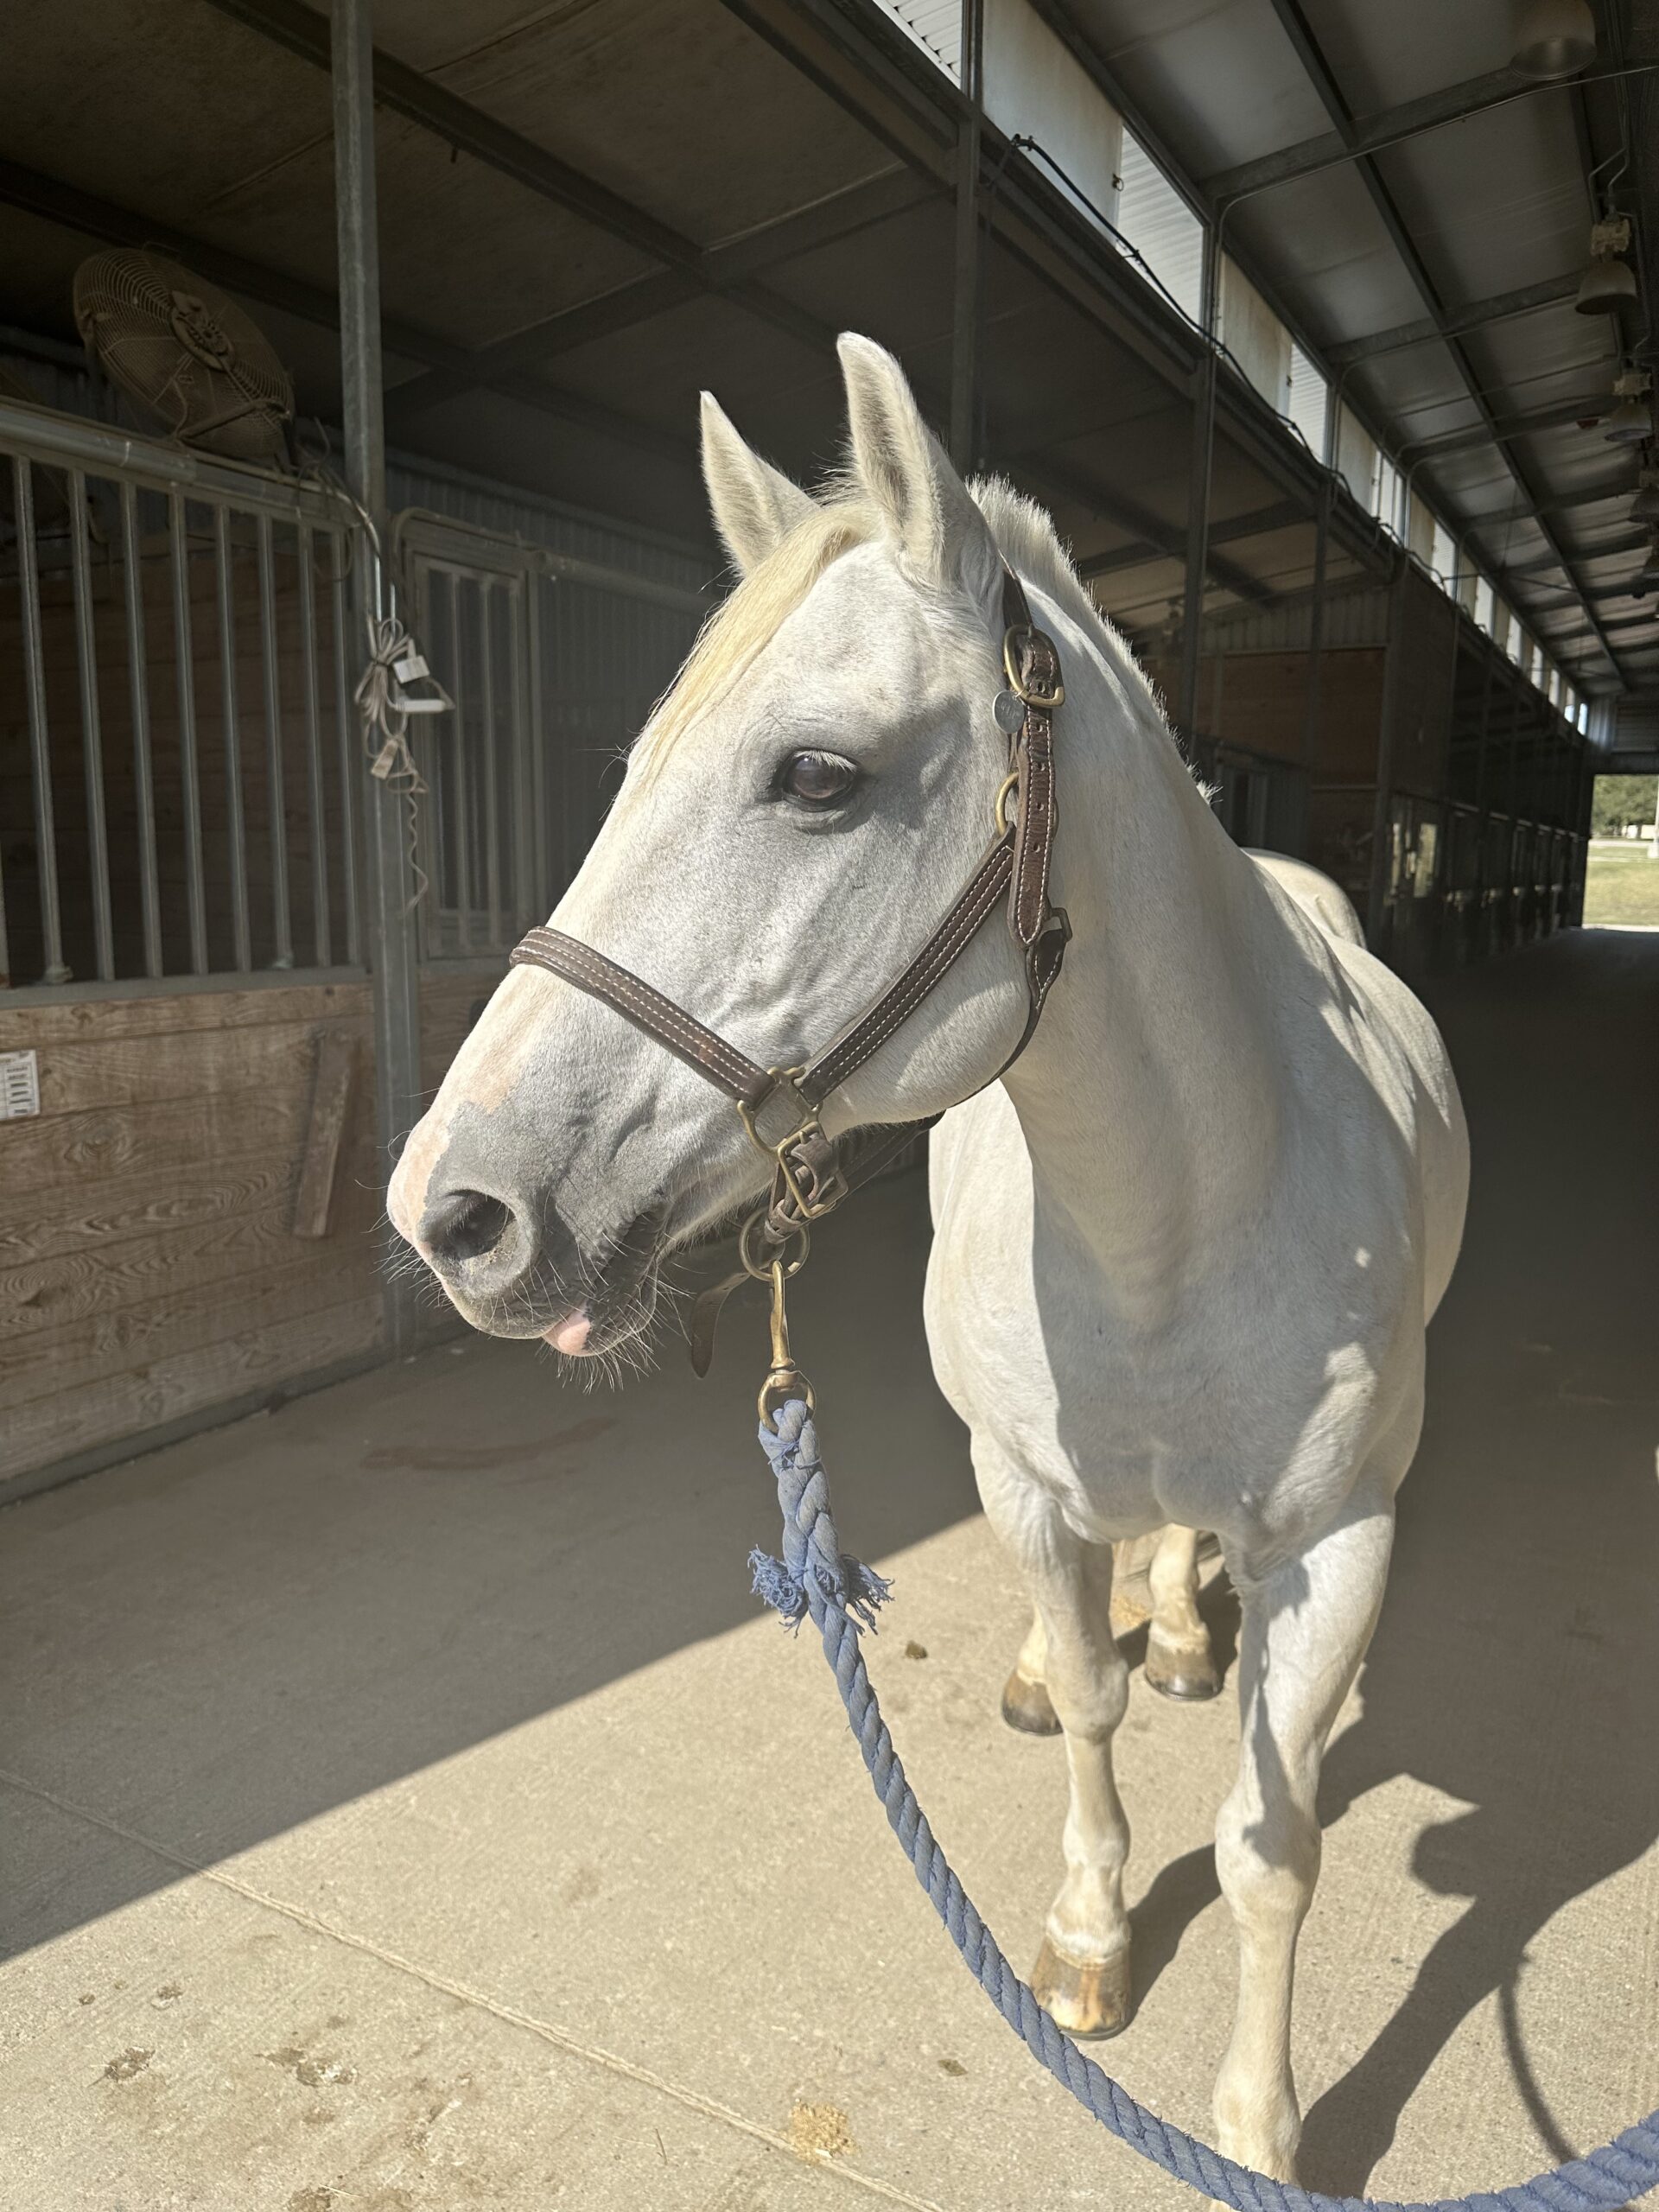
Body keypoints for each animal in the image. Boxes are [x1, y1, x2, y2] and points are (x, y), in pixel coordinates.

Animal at [389, 336, 1468, 2185]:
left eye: (819, 775)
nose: (453, 1215)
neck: (1170, 1223)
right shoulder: (1020, 1486)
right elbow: (1097, 1713)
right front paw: (1094, 1934)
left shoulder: (1342, 1543)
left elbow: (1273, 1838)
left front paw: (1257, 2126)